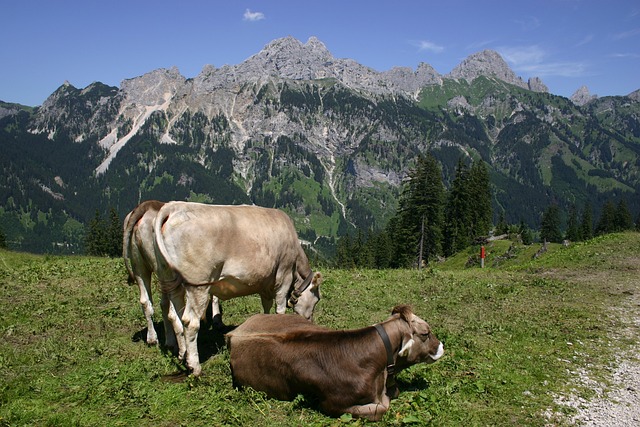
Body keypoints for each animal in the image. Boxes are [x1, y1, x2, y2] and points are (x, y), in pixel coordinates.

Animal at [153, 202, 322, 376]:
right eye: (317, 299)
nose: (309, 321)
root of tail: (174, 207)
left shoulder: (266, 282)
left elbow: (266, 307)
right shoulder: (284, 275)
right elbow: (280, 308)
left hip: (170, 278)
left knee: (176, 316)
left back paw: (183, 354)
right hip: (198, 284)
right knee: (190, 322)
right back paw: (195, 366)